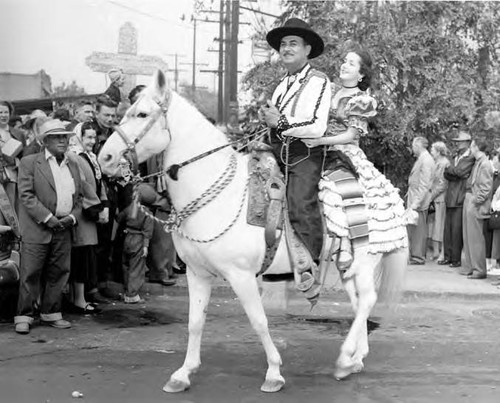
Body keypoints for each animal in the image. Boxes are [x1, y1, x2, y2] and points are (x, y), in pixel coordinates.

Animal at [97, 70, 406, 394]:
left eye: (141, 114)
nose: (105, 158)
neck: (220, 196)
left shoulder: (241, 275)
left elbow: (258, 321)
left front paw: (274, 373)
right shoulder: (197, 273)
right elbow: (195, 322)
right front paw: (183, 374)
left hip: (365, 258)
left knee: (367, 300)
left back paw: (346, 359)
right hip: (346, 262)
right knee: (359, 302)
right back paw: (356, 358)